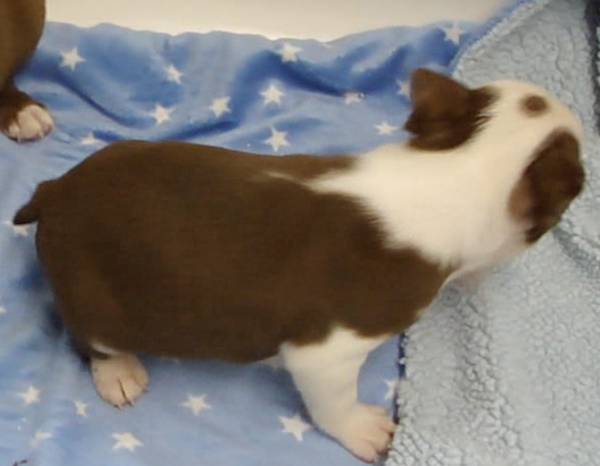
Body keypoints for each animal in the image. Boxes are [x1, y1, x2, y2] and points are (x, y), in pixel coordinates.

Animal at [13, 69, 584, 462]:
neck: (457, 165)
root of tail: (53, 191)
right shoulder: (329, 350)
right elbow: (334, 401)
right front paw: (363, 429)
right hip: (93, 296)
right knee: (93, 339)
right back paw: (121, 373)